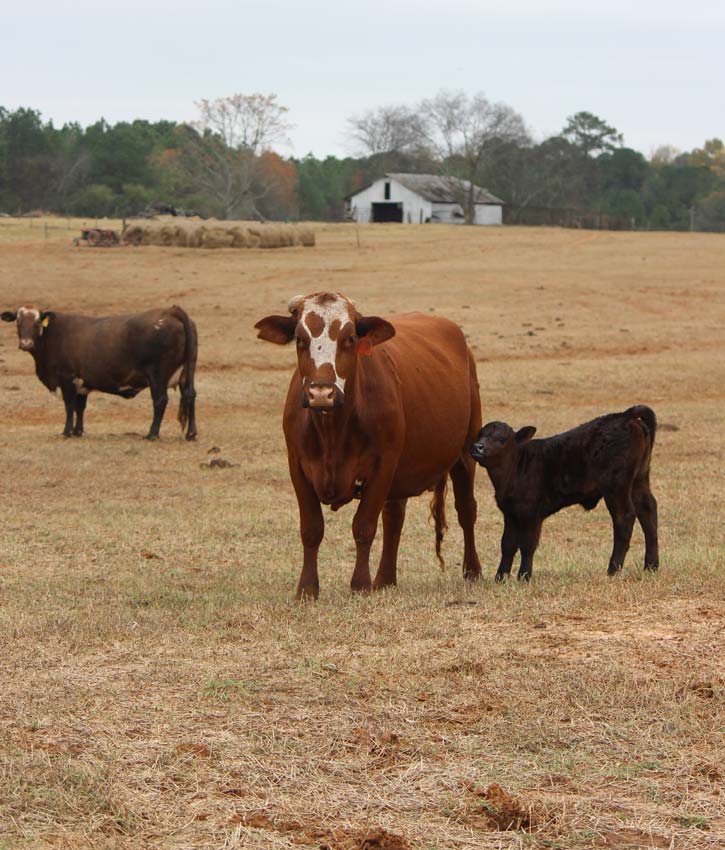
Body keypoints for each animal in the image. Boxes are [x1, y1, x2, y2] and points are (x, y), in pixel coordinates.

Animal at [1, 304, 198, 438]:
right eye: (18, 322)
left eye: (36, 322)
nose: (26, 343)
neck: (52, 335)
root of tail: (171, 311)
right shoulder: (82, 382)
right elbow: (80, 407)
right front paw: (78, 431)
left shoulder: (67, 378)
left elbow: (69, 406)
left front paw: (66, 431)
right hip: (187, 372)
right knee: (190, 394)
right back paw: (191, 434)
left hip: (157, 375)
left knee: (160, 400)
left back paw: (152, 434)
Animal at [253, 292, 480, 596]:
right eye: (300, 338)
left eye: (349, 338)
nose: (321, 393)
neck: (332, 430)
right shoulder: (297, 467)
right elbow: (311, 529)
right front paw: (307, 588)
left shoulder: (382, 466)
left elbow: (363, 526)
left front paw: (360, 584)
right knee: (394, 517)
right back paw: (385, 579)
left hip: (466, 453)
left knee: (466, 509)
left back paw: (472, 570)